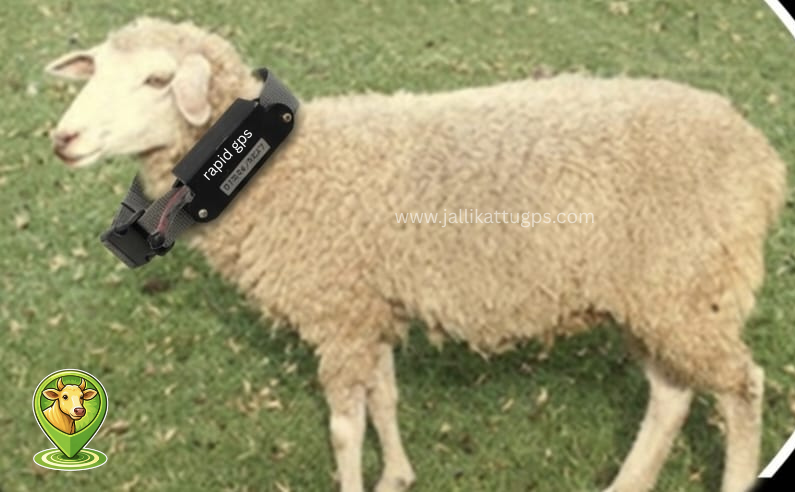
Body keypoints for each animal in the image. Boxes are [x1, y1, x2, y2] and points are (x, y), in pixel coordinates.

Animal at [46, 17, 786, 492]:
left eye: (157, 79)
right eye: (97, 72)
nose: (64, 139)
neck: (278, 172)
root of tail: (761, 159)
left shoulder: (339, 311)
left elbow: (345, 429)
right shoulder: (370, 302)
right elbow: (385, 398)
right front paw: (397, 474)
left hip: (685, 283)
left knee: (742, 390)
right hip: (662, 293)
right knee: (672, 393)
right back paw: (629, 483)